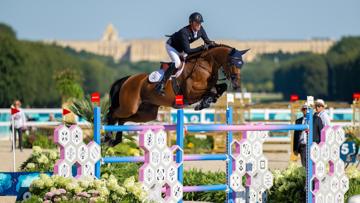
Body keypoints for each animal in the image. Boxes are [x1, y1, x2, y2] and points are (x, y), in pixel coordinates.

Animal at [105, 44, 249, 146]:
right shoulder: (191, 92)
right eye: (231, 63)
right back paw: (107, 138)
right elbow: (211, 90)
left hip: (147, 113)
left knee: (122, 119)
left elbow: (221, 87)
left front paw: (208, 101)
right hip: (130, 106)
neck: (205, 66)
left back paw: (115, 141)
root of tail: (127, 79)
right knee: (112, 114)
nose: (237, 85)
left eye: (241, 65)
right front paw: (203, 103)